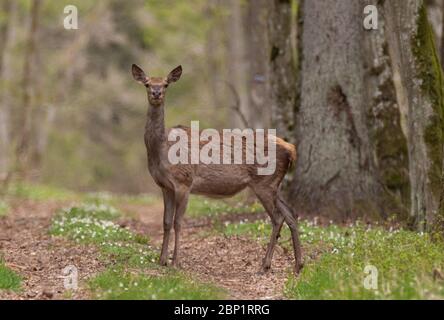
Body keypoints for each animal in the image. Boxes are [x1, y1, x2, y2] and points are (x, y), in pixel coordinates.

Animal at [132, 63, 304, 274]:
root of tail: (291, 149)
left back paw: (265, 264)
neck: (160, 150)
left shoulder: (184, 182)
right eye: (147, 84)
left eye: (165, 84)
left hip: (264, 183)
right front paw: (162, 260)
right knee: (291, 214)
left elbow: (178, 222)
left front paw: (175, 262)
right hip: (273, 185)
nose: (156, 93)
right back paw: (298, 265)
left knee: (278, 218)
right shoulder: (165, 186)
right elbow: (165, 222)